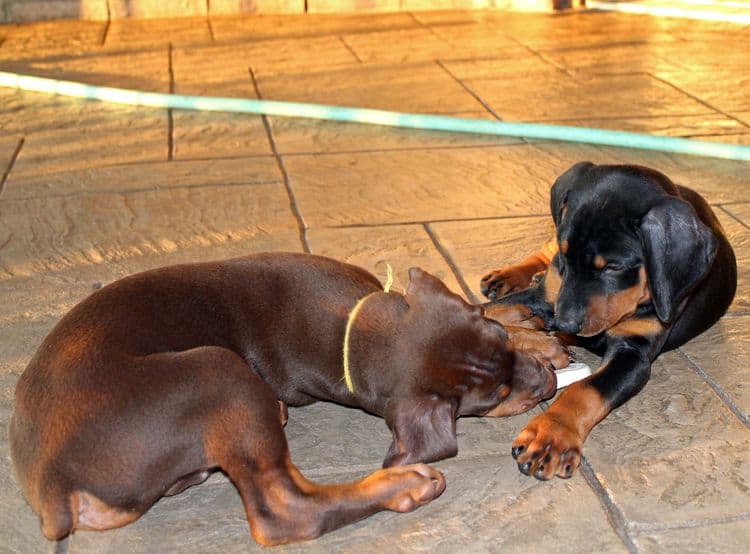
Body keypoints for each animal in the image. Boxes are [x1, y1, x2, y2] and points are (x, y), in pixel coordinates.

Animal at [11, 252, 568, 544]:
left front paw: (531, 330)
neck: (352, 329)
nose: (547, 383)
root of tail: (54, 484)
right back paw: (402, 485)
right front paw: (542, 343)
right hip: (217, 371)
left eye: (499, 341)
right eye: (493, 397)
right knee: (281, 512)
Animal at [478, 163, 736, 478]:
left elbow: (586, 389)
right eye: (567, 255)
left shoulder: (634, 354)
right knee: (543, 251)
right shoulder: (544, 295)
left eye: (613, 267)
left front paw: (551, 435)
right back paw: (510, 275)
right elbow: (485, 311)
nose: (563, 325)